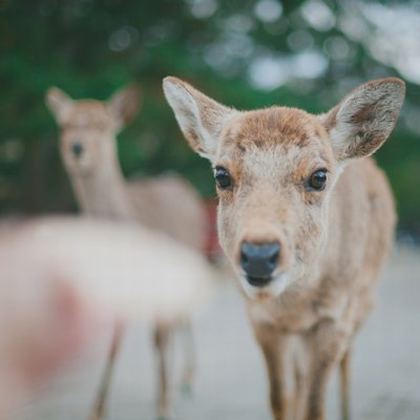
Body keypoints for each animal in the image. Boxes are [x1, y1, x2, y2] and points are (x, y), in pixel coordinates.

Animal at [45, 86, 207, 420]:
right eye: (65, 125)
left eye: (102, 125)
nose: (77, 148)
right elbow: (117, 340)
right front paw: (97, 408)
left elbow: (158, 335)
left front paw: (164, 404)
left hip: (194, 250)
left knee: (182, 316)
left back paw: (187, 380)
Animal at [162, 76, 406, 420]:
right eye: (221, 175)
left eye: (319, 176)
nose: (259, 256)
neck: (295, 304)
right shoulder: (262, 320)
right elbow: (280, 398)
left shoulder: (335, 319)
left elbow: (316, 407)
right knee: (300, 380)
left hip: (364, 304)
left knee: (346, 363)